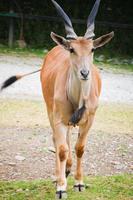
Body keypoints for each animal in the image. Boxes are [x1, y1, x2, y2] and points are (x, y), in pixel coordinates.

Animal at [0, 0, 114, 198]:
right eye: (72, 49)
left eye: (92, 49)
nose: (85, 73)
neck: (78, 100)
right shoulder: (59, 118)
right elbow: (61, 149)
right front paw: (61, 187)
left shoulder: (89, 120)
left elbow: (79, 148)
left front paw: (79, 183)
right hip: (50, 110)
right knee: (57, 140)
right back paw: (59, 174)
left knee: (67, 141)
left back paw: (67, 169)